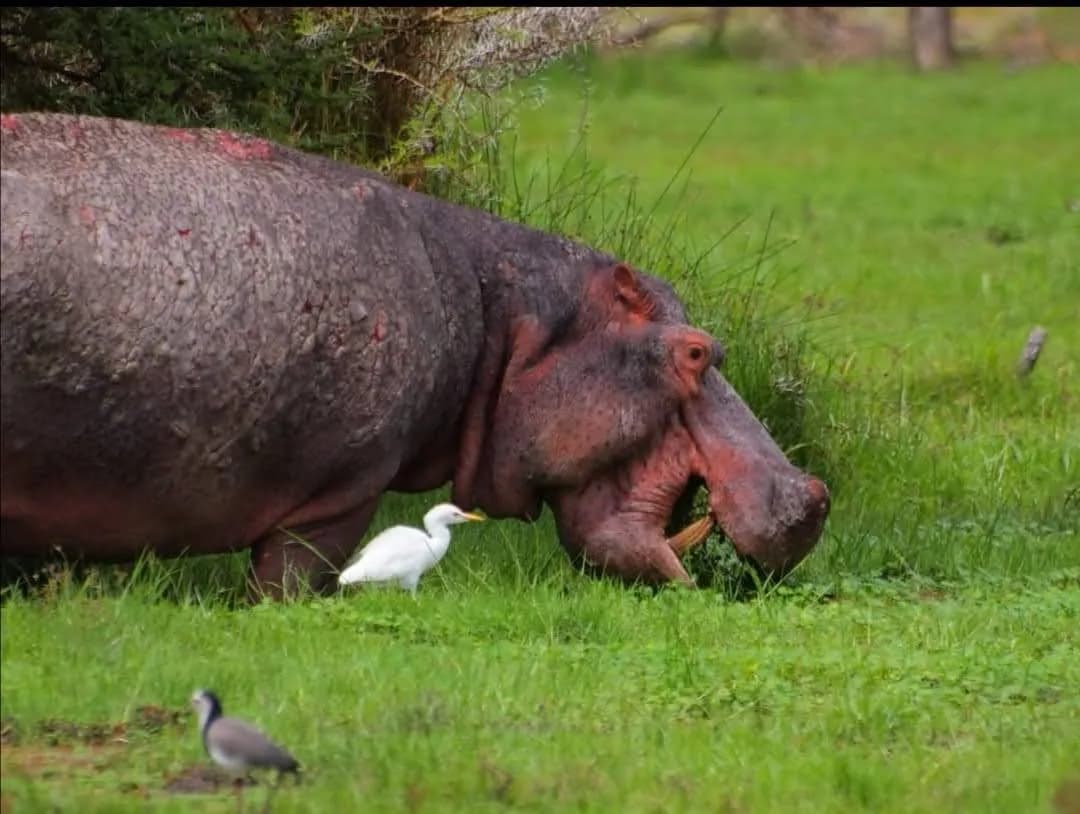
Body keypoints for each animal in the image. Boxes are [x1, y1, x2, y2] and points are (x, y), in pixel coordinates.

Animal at [0, 112, 830, 599]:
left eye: (715, 344)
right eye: (695, 352)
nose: (812, 495)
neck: (505, 322)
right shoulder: (338, 491)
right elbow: (292, 578)